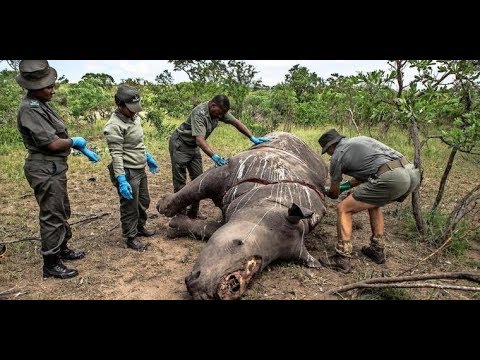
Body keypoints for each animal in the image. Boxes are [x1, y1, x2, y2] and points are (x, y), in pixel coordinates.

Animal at [158, 131, 330, 300]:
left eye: (268, 261)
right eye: (238, 243)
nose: (233, 285)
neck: (268, 200)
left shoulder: (233, 213)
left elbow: (208, 229)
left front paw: (174, 225)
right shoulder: (228, 169)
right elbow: (196, 188)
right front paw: (163, 208)